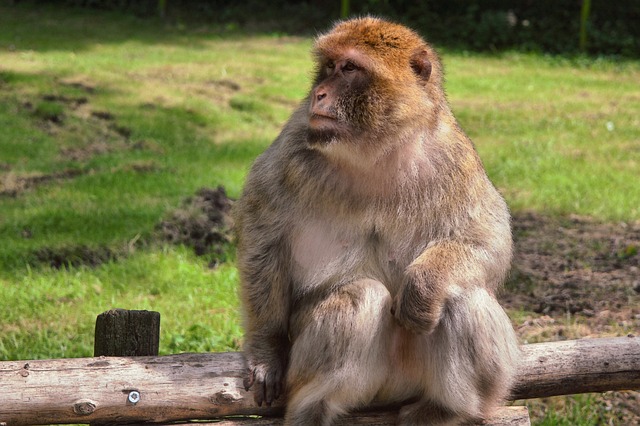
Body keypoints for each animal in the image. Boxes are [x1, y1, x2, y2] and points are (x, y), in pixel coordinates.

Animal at [235, 16, 520, 426]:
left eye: (350, 69)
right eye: (328, 67)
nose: (319, 93)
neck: (376, 151)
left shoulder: (454, 156)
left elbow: (487, 239)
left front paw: (424, 285)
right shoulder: (291, 151)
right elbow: (264, 243)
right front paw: (266, 351)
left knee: (460, 295)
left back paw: (447, 409)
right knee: (362, 297)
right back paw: (312, 409)